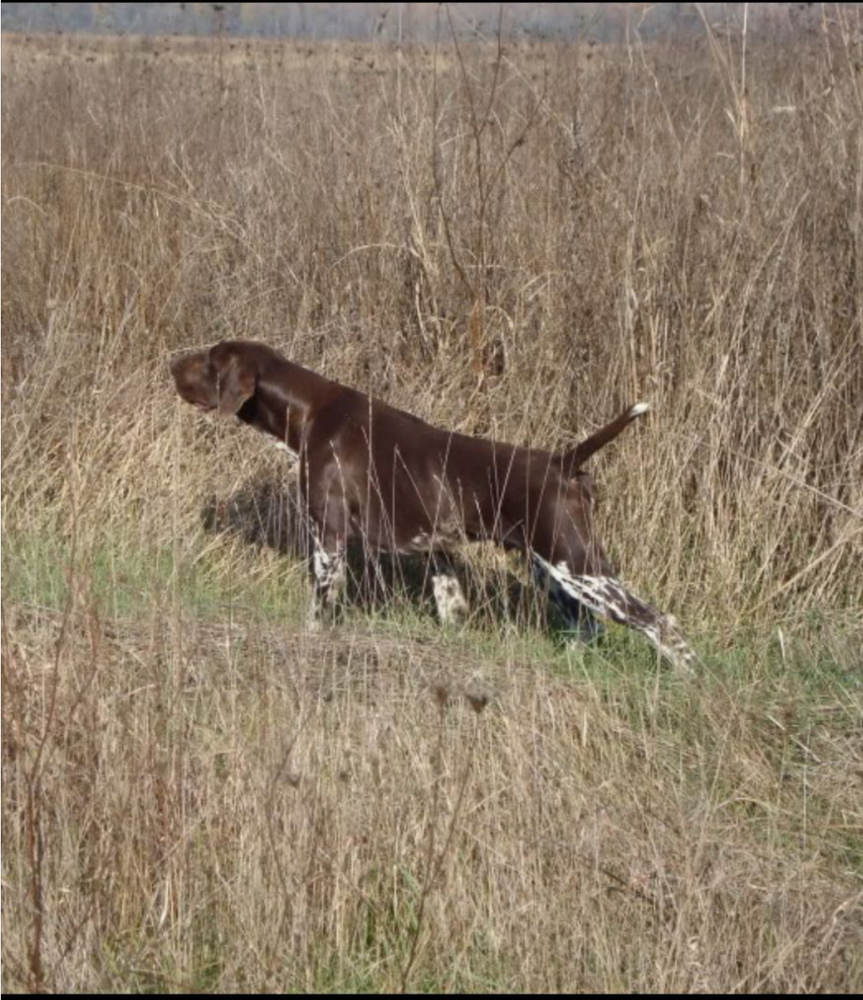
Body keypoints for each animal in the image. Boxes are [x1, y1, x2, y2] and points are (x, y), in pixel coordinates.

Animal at [174, 338, 696, 672]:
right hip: (551, 568)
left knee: (661, 625)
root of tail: (562, 462)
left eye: (210, 360)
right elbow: (452, 609)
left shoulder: (329, 536)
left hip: (580, 567)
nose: (171, 366)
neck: (309, 413)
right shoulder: (438, 552)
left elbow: (318, 609)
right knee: (589, 628)